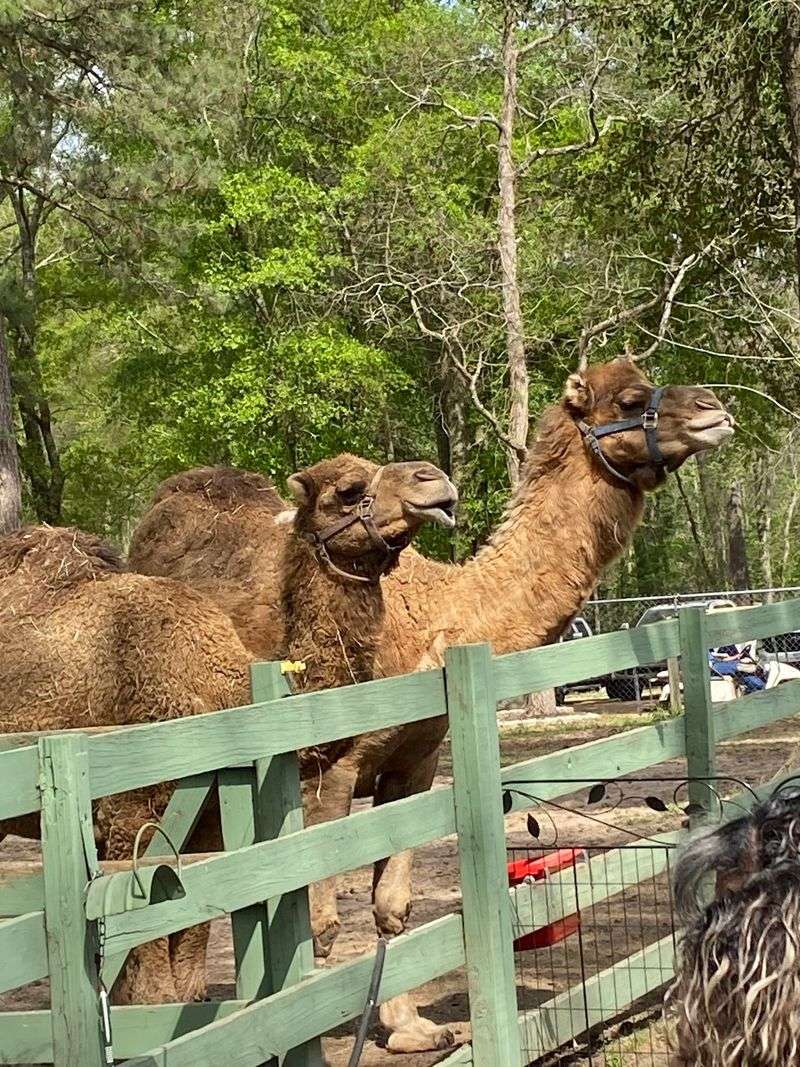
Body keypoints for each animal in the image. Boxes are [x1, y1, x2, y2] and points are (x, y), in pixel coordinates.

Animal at [0, 455, 455, 1011]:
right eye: (349, 491)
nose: (433, 480)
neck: (220, 692)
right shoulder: (128, 821)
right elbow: (149, 981)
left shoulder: (207, 829)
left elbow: (190, 956)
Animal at [129, 358, 734, 1050]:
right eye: (632, 398)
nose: (715, 407)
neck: (438, 622)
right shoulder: (327, 773)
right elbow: (319, 923)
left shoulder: (414, 762)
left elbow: (391, 906)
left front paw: (412, 1028)